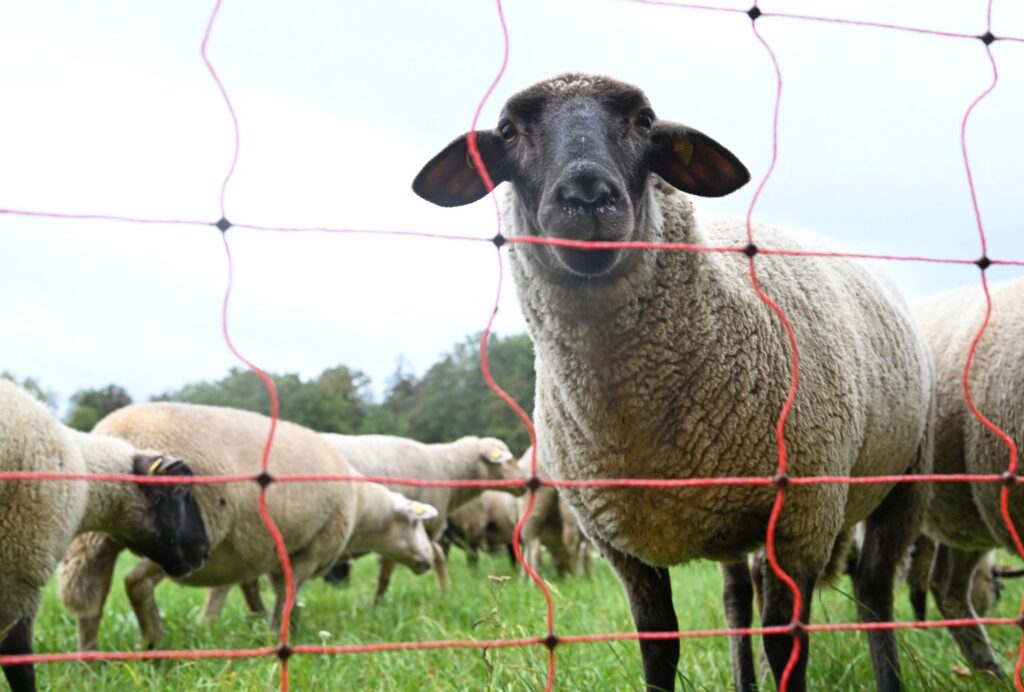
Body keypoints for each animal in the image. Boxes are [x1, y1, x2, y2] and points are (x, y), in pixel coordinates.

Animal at [58, 401, 437, 651]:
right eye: (416, 524)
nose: (430, 560)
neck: (361, 509)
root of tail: (118, 431)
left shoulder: (266, 553)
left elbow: (265, 596)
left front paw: (268, 628)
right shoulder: (310, 550)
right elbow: (287, 596)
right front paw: (280, 635)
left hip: (103, 532)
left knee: (92, 596)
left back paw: (89, 660)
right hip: (182, 541)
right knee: (136, 583)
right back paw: (154, 641)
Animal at [321, 434, 528, 603]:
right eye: (507, 460)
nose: (526, 483)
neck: (445, 468)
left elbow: (436, 556)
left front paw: (445, 593)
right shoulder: (410, 525)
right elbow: (395, 567)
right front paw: (379, 603)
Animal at [412, 73, 934, 691]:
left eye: (644, 121)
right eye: (509, 131)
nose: (588, 197)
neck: (636, 420)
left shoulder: (801, 518)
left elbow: (787, 646)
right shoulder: (621, 544)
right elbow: (659, 650)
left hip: (907, 479)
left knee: (874, 590)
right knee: (737, 600)